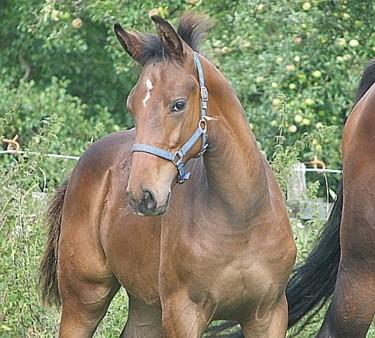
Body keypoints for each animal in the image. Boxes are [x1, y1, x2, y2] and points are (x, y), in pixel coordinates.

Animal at [39, 13, 296, 338]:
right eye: (132, 105)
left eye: (178, 104)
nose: (142, 195)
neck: (242, 219)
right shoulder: (182, 313)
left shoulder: (269, 314)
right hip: (84, 299)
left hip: (146, 305)